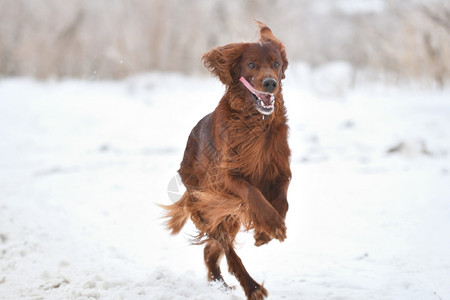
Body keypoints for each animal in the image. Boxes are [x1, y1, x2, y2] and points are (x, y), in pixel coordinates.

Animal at [162, 21, 292, 300]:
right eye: (251, 64)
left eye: (276, 63)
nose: (270, 83)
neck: (256, 122)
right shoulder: (226, 177)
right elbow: (253, 192)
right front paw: (272, 224)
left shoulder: (281, 170)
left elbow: (283, 201)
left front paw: (265, 232)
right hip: (208, 205)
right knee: (227, 251)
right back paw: (252, 287)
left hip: (225, 215)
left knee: (211, 250)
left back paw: (219, 281)